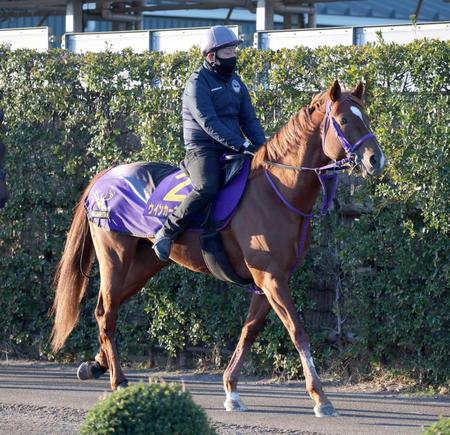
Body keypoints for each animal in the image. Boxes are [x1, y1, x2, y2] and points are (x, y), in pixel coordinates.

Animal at [51, 80, 384, 418]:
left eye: (366, 118)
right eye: (344, 120)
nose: (376, 160)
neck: (277, 190)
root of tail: (104, 178)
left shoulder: (269, 282)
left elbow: (249, 331)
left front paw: (231, 389)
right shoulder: (271, 278)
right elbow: (297, 331)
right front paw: (320, 396)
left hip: (144, 264)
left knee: (108, 308)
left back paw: (96, 365)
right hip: (115, 258)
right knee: (107, 311)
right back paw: (118, 379)